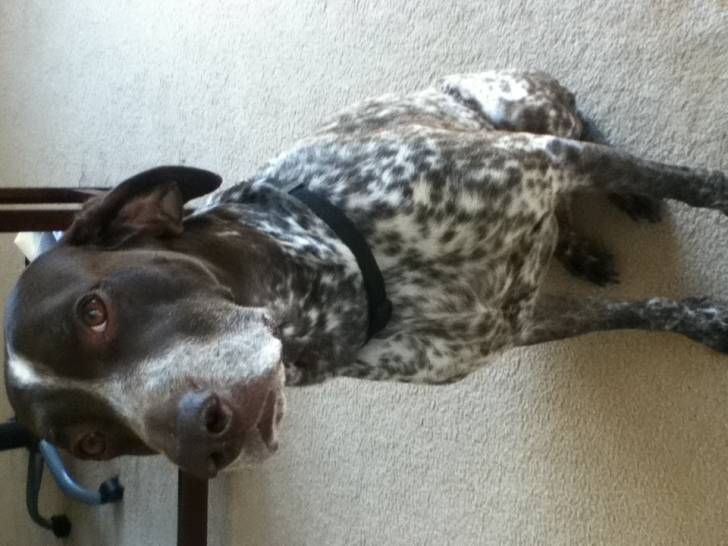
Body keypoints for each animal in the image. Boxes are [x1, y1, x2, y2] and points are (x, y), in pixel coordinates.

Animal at [4, 70, 727, 479]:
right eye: (92, 441)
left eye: (95, 312)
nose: (199, 443)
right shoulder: (518, 324)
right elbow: (632, 312)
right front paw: (700, 319)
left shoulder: (546, 159)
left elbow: (681, 180)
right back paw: (578, 247)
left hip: (521, 107)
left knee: (587, 125)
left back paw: (621, 200)